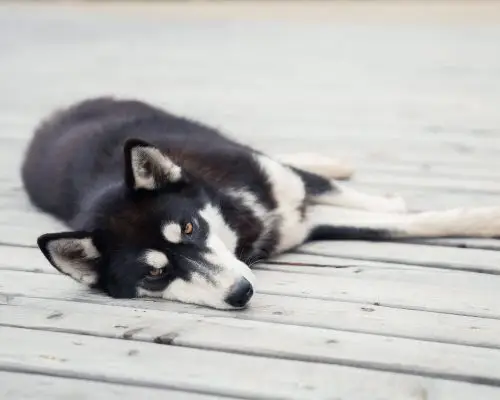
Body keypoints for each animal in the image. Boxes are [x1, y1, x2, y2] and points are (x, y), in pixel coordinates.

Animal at [21, 97, 500, 310]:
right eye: (155, 274)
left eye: (190, 229)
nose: (242, 293)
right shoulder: (306, 225)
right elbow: (397, 223)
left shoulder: (285, 188)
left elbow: (393, 215)